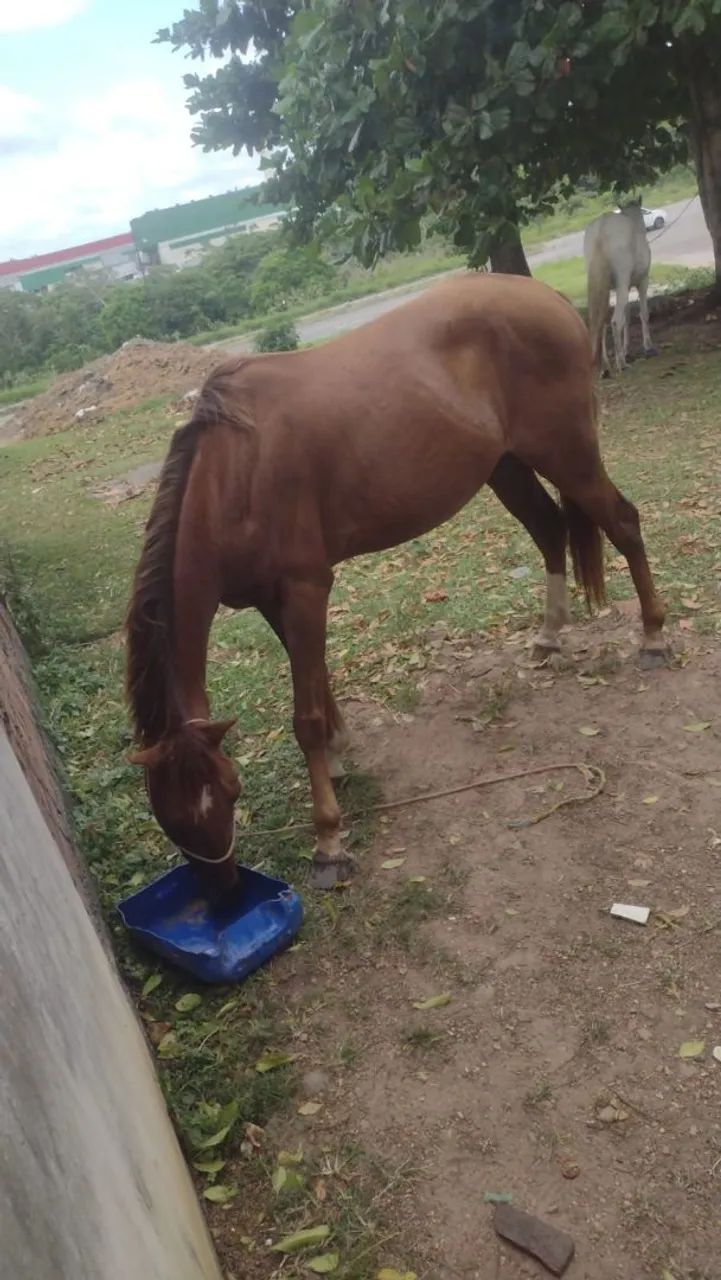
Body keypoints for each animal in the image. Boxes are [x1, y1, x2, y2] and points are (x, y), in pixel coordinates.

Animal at [125, 272, 666, 893]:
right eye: (169, 818)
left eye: (227, 792)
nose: (225, 897)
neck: (235, 472)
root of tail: (546, 297)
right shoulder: (271, 598)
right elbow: (315, 676)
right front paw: (339, 752)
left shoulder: (306, 587)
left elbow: (305, 716)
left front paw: (329, 841)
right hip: (505, 466)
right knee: (551, 532)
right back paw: (549, 636)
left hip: (567, 454)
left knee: (624, 523)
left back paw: (654, 637)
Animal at [584, 197, 655, 375]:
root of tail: (601, 228)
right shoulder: (642, 282)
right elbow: (643, 314)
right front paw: (648, 347)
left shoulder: (623, 288)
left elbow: (627, 317)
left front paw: (626, 349)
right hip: (623, 284)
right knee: (615, 321)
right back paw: (621, 364)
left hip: (604, 288)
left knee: (601, 323)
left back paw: (605, 367)